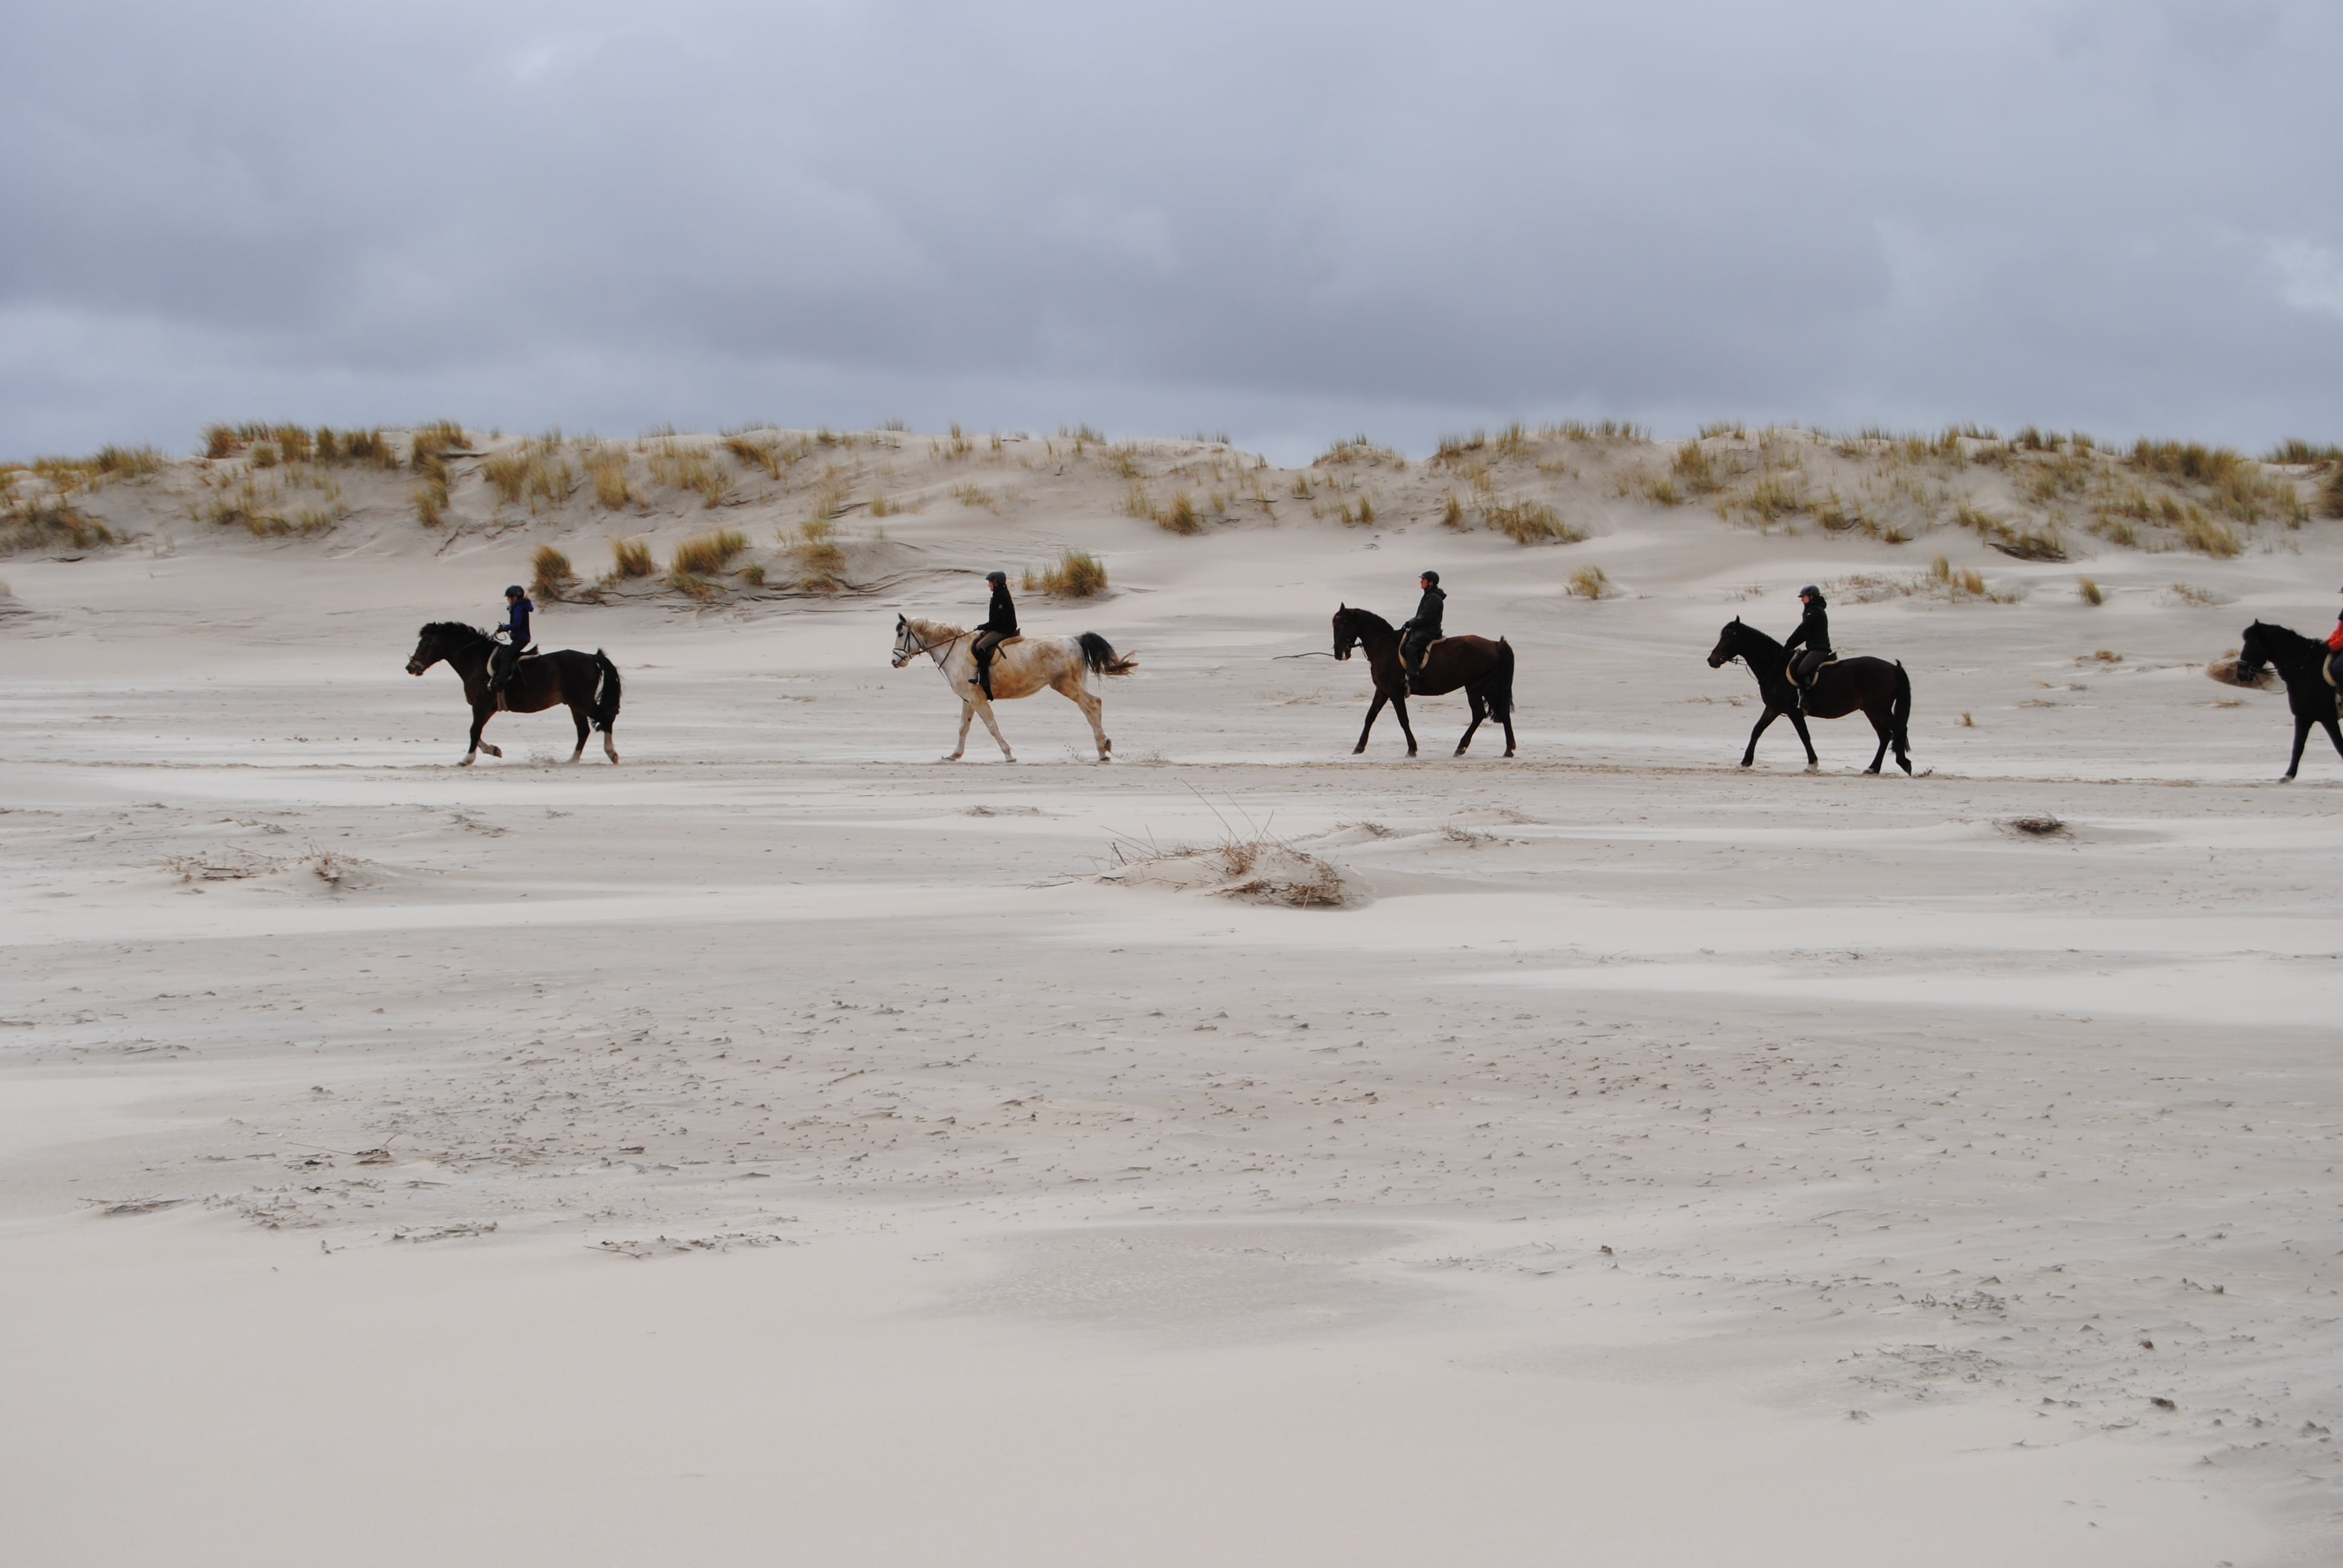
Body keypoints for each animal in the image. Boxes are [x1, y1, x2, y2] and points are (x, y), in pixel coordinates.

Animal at [404, 622, 622, 766]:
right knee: (583, 730)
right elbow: (477, 731)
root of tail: (591, 657)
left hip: (581, 701)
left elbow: (474, 730)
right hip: (574, 704)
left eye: (426, 643)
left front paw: (467, 759)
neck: (476, 661)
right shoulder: (487, 708)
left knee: (606, 717)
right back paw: (572, 761)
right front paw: (494, 750)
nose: (411, 668)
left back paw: (612, 754)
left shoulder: (482, 705)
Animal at [890, 615, 1135, 762]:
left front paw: (1008, 755)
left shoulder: (976, 699)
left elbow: (992, 726)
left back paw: (1103, 748)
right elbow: (963, 728)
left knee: (1093, 704)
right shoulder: (969, 699)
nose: (894, 662)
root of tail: (1075, 639)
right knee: (1090, 709)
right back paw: (1103, 746)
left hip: (1065, 685)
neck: (955, 651)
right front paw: (954, 755)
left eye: (901, 634)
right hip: (1074, 684)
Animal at [1330, 605, 1516, 758]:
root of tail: (1496, 644)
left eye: (1343, 624)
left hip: (1477, 687)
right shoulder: (1383, 690)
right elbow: (1370, 716)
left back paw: (1463, 747)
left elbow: (1403, 719)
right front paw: (1359, 747)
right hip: (1485, 687)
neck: (1384, 646)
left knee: (1480, 714)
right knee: (1500, 712)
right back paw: (1508, 749)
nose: (1339, 654)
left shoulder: (1394, 692)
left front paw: (1412, 749)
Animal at [1706, 617, 1911, 774]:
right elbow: (1757, 730)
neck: (1775, 667)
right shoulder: (1773, 708)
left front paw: (1812, 764)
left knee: (1899, 729)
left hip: (1878, 709)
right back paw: (1873, 768)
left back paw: (1904, 763)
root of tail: (1894, 668)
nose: (1711, 660)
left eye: (1731, 638)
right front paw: (1745, 761)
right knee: (1885, 735)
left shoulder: (1793, 710)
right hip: (1871, 710)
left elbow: (1804, 735)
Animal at [2234, 620, 2343, 780]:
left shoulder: (2327, 718)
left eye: (2254, 642)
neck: (2304, 670)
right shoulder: (2303, 717)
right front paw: (2288, 775)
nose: (2241, 674)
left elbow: (2339, 745)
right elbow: (2298, 747)